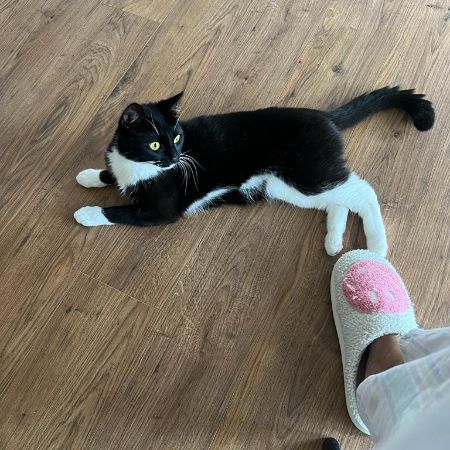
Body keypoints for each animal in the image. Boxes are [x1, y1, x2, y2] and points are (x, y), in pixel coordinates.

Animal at [74, 86, 434, 256]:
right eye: (154, 144)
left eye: (175, 138)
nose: (176, 157)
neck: (137, 165)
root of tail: (323, 115)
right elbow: (111, 174)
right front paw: (90, 175)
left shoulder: (162, 209)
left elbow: (121, 212)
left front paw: (86, 213)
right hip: (286, 185)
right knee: (339, 199)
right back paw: (333, 241)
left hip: (307, 173)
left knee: (363, 191)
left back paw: (377, 247)